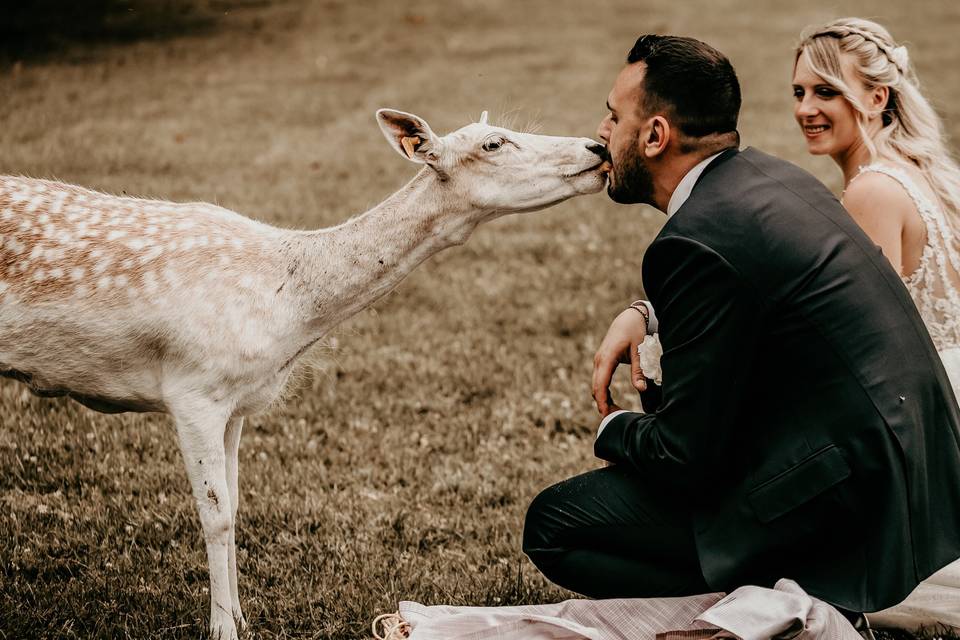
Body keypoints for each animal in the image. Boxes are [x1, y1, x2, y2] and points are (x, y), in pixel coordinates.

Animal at [0, 109, 608, 636]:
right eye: (493, 143)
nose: (597, 148)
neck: (287, 313)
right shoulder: (193, 388)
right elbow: (215, 514)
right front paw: (222, 629)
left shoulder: (237, 402)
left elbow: (236, 504)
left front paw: (243, 617)